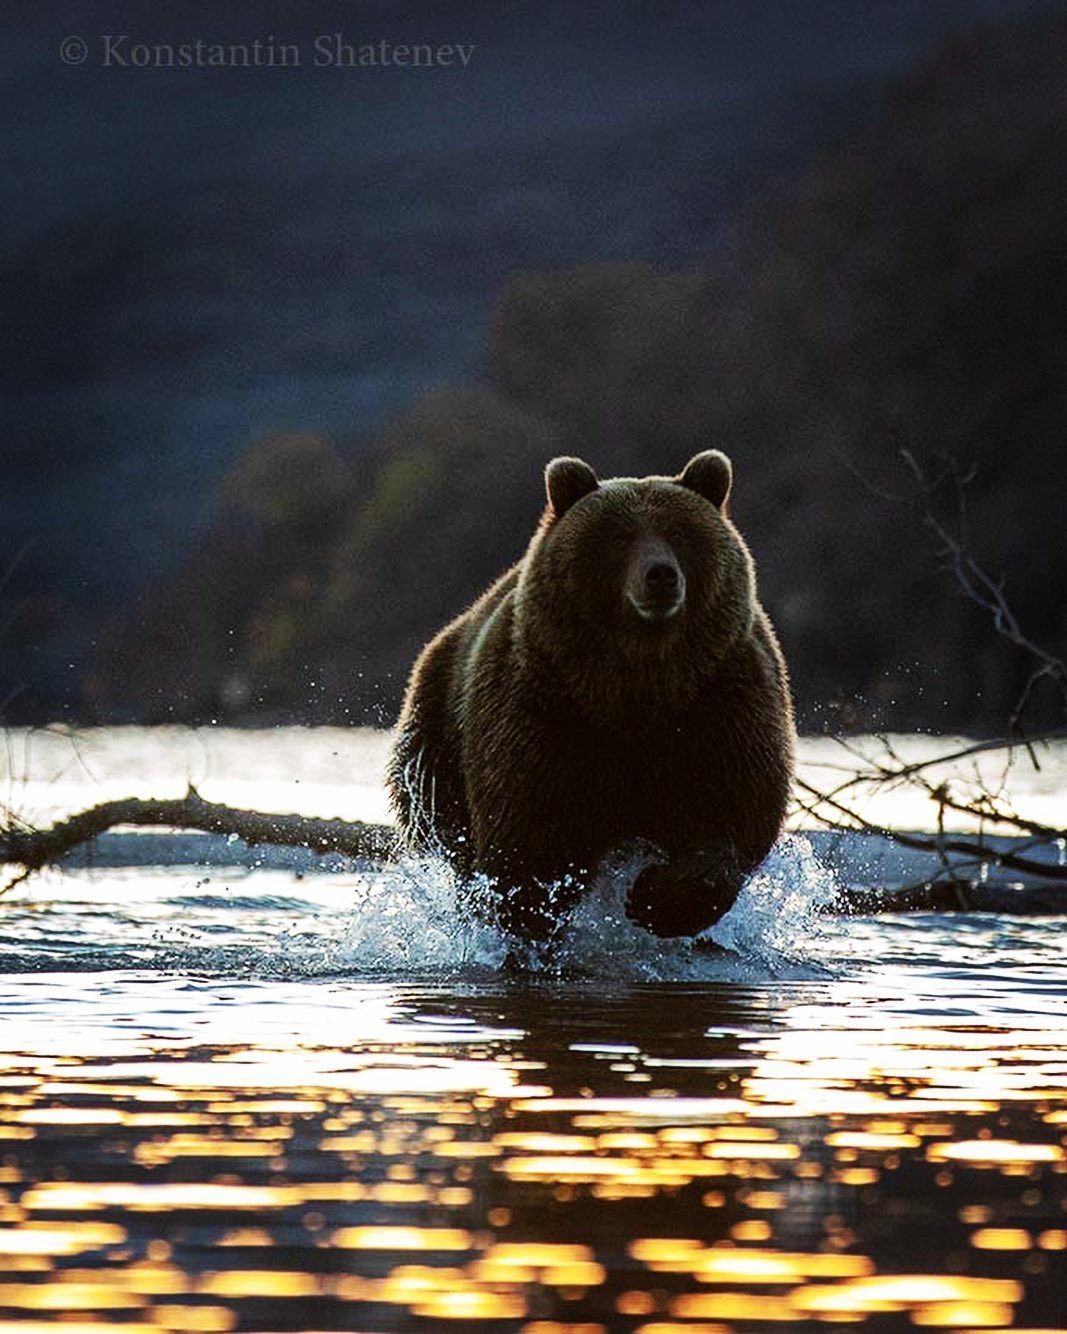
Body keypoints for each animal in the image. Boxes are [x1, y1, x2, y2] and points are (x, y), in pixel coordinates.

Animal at [384, 453, 789, 944]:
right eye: (618, 537)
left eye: (679, 532)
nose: (660, 575)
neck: (637, 688)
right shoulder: (548, 712)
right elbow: (531, 835)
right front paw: (529, 918)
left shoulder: (716, 699)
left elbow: (727, 809)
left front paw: (657, 900)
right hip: (437, 739)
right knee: (447, 829)